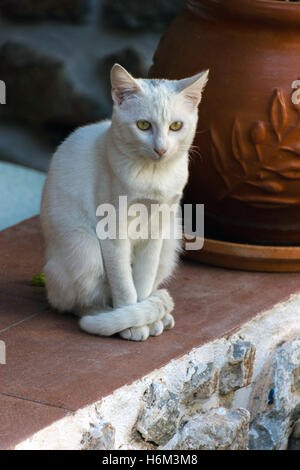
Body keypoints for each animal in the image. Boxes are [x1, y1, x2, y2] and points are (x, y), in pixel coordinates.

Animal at [40, 64, 209, 340]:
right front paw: (133, 325)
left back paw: (157, 316)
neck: (153, 176)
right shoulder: (113, 233)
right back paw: (104, 317)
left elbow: (142, 281)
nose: (161, 149)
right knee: (72, 304)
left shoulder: (156, 232)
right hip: (85, 249)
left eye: (176, 125)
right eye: (143, 125)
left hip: (169, 245)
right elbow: (125, 286)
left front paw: (144, 318)